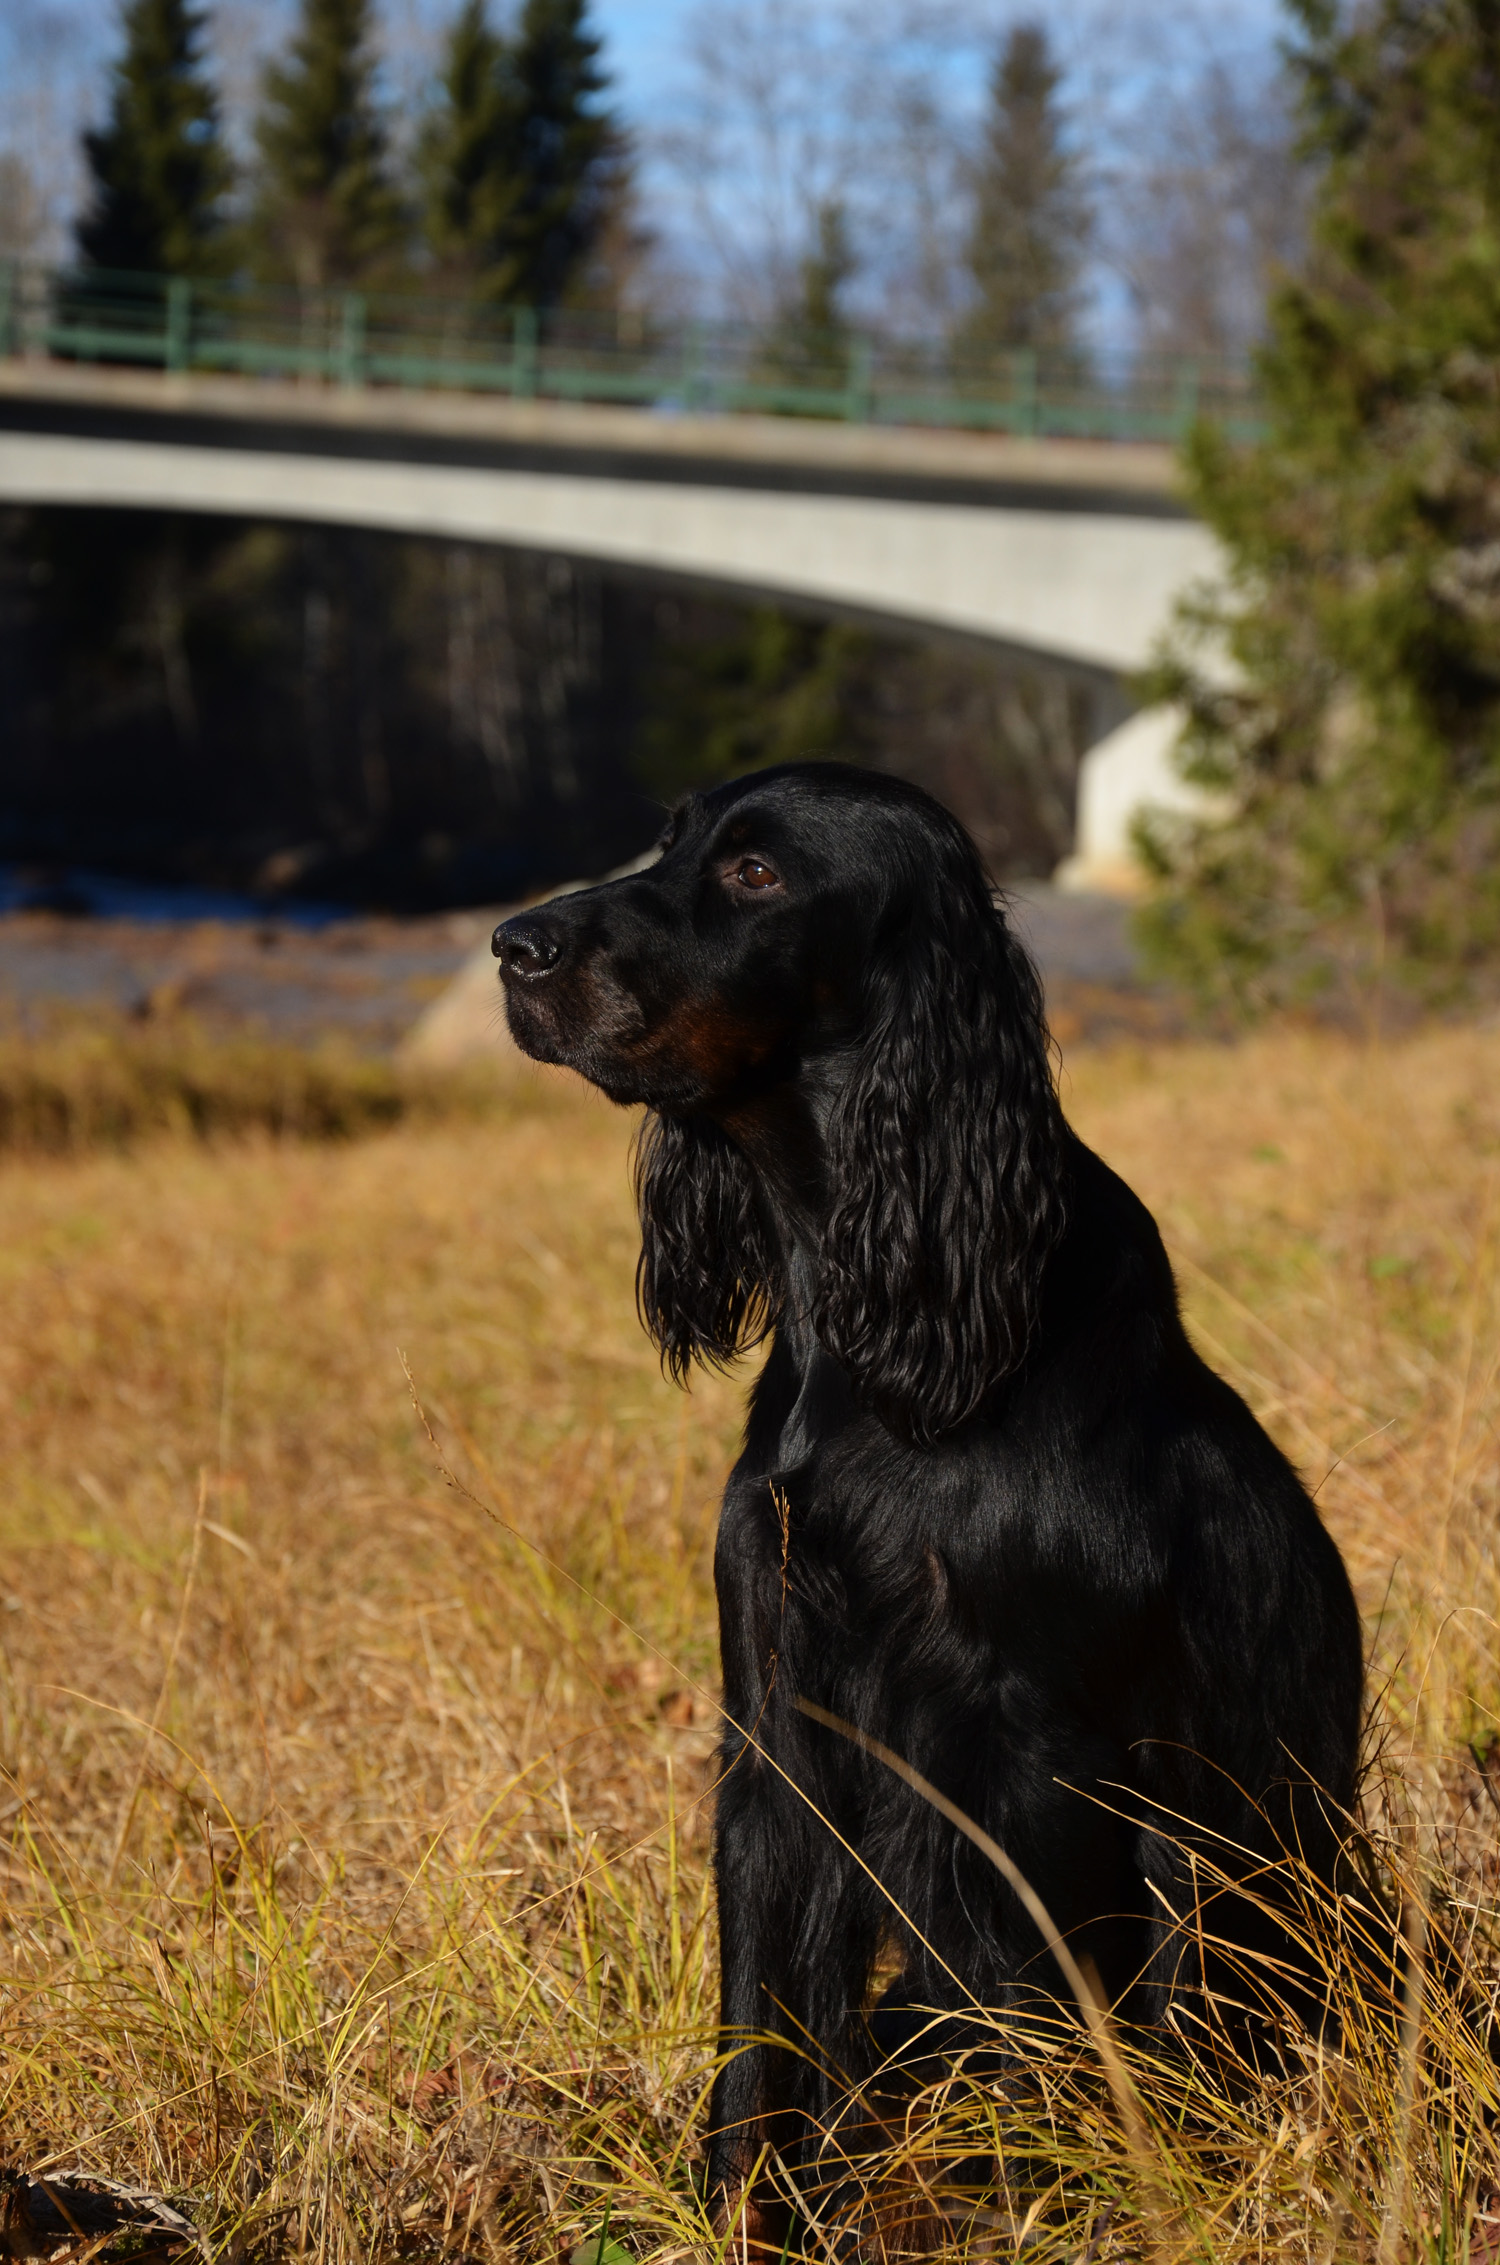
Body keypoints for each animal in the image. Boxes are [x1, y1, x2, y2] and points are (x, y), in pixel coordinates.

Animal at [498, 770, 1368, 2255]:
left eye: (755, 873)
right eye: (671, 839)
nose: (515, 945)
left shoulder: (1029, 1750)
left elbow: (1027, 2022)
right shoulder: (775, 1721)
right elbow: (762, 2030)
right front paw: (747, 2214)